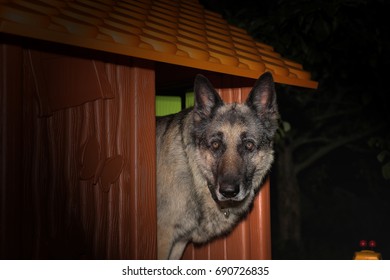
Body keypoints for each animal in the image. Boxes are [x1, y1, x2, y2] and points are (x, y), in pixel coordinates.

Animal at [155, 71, 278, 258]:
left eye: (249, 145)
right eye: (215, 145)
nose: (228, 192)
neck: (194, 175)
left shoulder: (179, 242)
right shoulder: (164, 238)